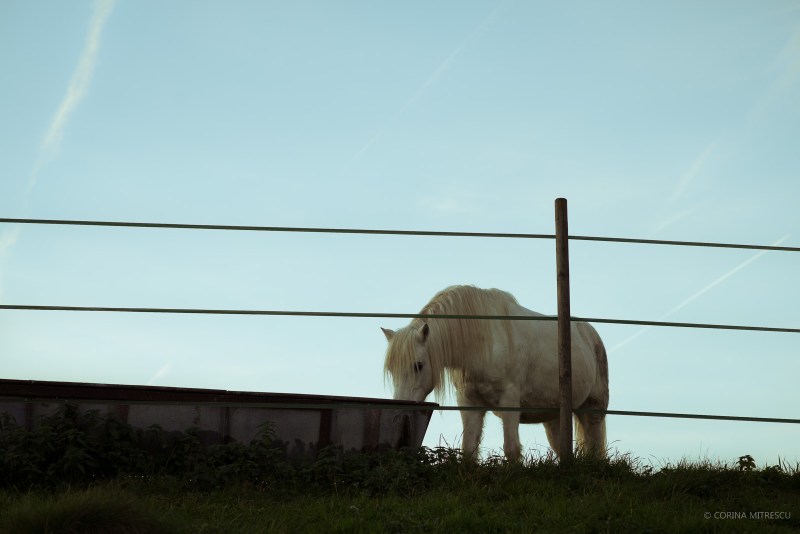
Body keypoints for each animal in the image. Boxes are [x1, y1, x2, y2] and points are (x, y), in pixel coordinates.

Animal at [382, 285, 608, 462]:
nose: (401, 407)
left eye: (418, 365)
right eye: (392, 370)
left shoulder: (510, 400)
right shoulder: (470, 403)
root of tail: (591, 334)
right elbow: (469, 450)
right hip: (554, 418)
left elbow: (512, 449)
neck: (483, 341)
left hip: (593, 410)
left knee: (595, 448)